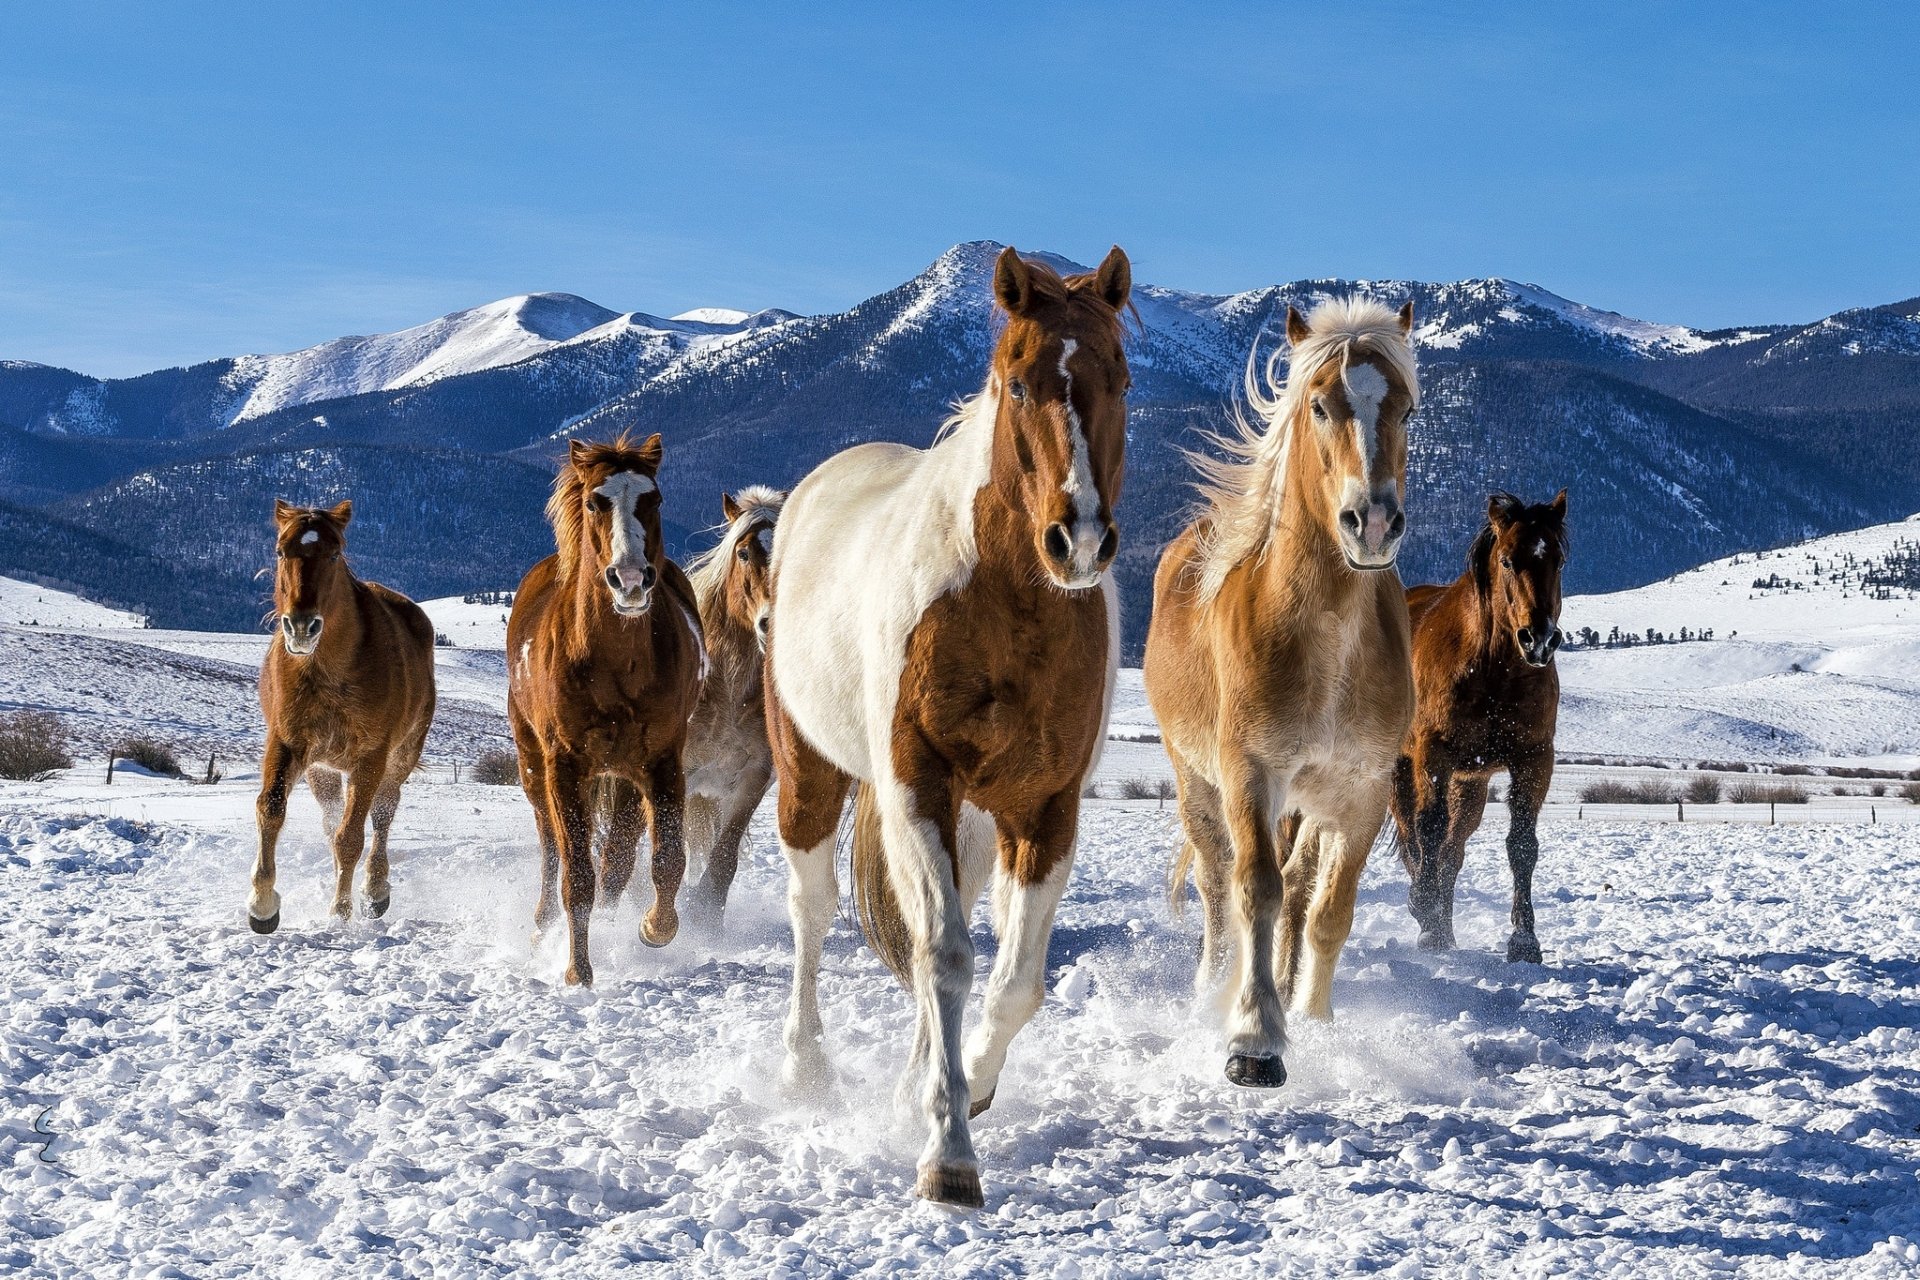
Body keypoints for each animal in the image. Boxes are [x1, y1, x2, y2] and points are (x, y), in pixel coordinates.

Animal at [249, 499, 437, 933]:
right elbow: (271, 809)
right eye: (281, 551)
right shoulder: (287, 743)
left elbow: (351, 837)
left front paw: (341, 911)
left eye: (333, 554)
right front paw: (262, 905)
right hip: (323, 770)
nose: (301, 626)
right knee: (331, 820)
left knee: (382, 814)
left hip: (398, 758)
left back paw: (375, 890)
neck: (327, 670)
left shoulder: (370, 758)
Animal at [506, 433, 706, 986]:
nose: (631, 579)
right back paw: (542, 926)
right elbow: (576, 873)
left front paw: (654, 928)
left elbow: (665, 859)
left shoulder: (662, 762)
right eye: (596, 502)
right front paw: (578, 969)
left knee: (617, 858)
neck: (616, 664)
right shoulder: (565, 767)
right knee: (550, 848)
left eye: (654, 499)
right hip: (534, 767)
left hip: (625, 777)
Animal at [764, 246, 1132, 1207]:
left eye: (1120, 376)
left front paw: (968, 1087)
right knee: (811, 911)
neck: (1004, 603)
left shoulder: (1045, 808)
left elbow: (1014, 982)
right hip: (811, 776)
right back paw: (803, 1071)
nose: (1078, 539)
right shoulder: (916, 784)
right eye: (1017, 379)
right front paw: (948, 1153)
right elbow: (943, 955)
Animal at [1145, 297, 1419, 1088]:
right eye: (1320, 405)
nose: (1373, 522)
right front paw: (1254, 1038)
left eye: (1408, 409)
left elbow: (1328, 907)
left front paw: (1314, 1019)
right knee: (1215, 884)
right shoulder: (1250, 774)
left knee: (1298, 887)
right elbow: (1255, 891)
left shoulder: (1362, 791)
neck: (1325, 647)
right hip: (1195, 779)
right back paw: (1210, 990)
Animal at [1391, 491, 1568, 963]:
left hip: (1469, 784)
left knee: (1453, 851)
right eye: (1507, 560)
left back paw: (1445, 926)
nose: (1539, 639)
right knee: (1413, 838)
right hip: (1400, 770)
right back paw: (1426, 912)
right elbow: (1428, 830)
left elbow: (1521, 845)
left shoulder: (1533, 759)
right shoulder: (1433, 755)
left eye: (1558, 559)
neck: (1493, 668)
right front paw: (1426, 916)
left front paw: (1524, 941)